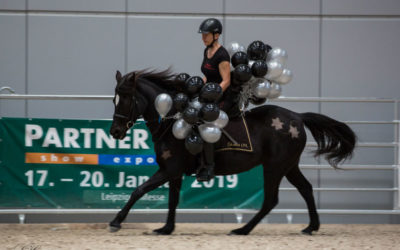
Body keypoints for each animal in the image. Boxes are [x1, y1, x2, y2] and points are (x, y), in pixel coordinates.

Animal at [107, 69, 356, 235]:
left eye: (126, 99)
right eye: (114, 99)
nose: (115, 132)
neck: (171, 122)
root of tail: (297, 117)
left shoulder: (169, 169)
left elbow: (138, 190)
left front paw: (116, 222)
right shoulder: (174, 173)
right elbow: (172, 199)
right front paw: (166, 228)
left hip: (274, 167)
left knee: (271, 199)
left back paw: (242, 230)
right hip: (289, 165)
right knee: (306, 188)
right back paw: (311, 226)